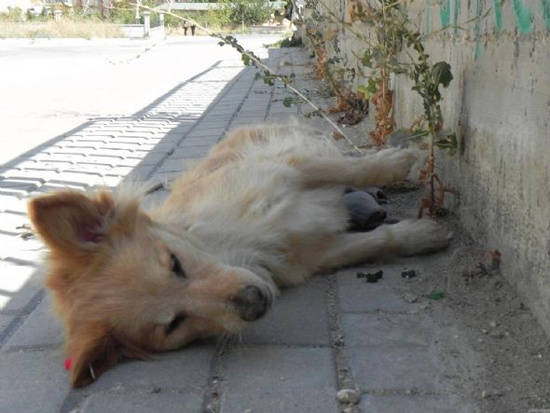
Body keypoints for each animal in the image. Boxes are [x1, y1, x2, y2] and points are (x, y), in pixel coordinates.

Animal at [27, 122, 452, 386]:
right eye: (173, 325)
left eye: (175, 263)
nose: (253, 303)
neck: (237, 243)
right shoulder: (316, 254)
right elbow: (380, 241)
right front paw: (418, 236)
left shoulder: (286, 166)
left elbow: (352, 168)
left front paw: (398, 162)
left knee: (341, 159)